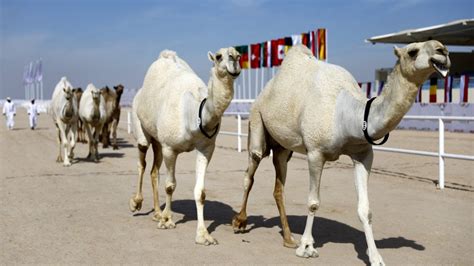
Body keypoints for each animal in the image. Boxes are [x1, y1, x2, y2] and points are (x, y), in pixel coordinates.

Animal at [129, 47, 241, 245]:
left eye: (239, 55)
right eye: (219, 56)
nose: (234, 61)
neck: (194, 113)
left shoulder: (206, 148)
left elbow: (200, 192)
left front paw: (203, 235)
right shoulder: (170, 148)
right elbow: (170, 185)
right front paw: (167, 220)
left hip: (158, 141)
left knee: (154, 171)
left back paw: (156, 213)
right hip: (141, 126)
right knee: (142, 162)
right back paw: (137, 204)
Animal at [231, 41, 450, 264]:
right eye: (412, 51)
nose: (443, 50)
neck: (348, 115)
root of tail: (264, 91)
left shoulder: (363, 154)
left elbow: (365, 209)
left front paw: (375, 257)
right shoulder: (315, 153)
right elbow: (313, 203)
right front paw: (306, 247)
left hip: (284, 147)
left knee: (279, 185)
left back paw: (288, 238)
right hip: (257, 120)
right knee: (251, 169)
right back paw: (240, 221)